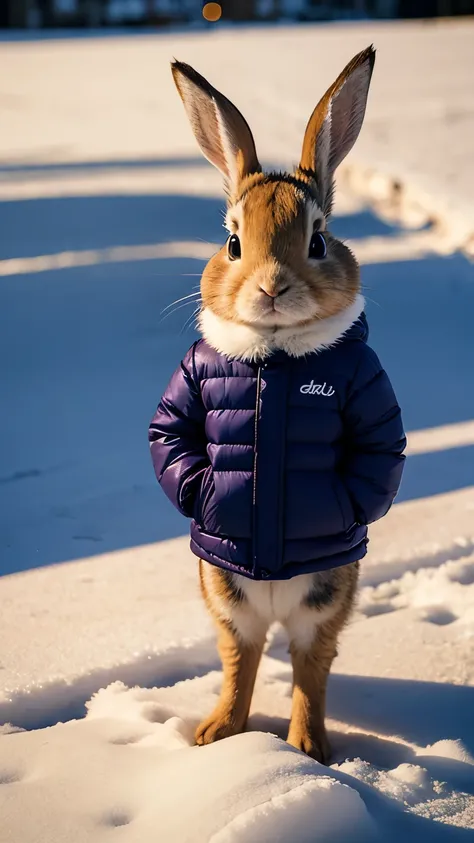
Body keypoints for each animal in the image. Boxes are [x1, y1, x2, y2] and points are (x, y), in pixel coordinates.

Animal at [149, 49, 408, 768]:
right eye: (234, 243)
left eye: (318, 240)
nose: (270, 287)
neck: (275, 356)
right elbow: (174, 434)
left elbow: (377, 450)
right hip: (224, 591)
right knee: (243, 658)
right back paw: (217, 735)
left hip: (327, 594)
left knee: (308, 666)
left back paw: (308, 747)